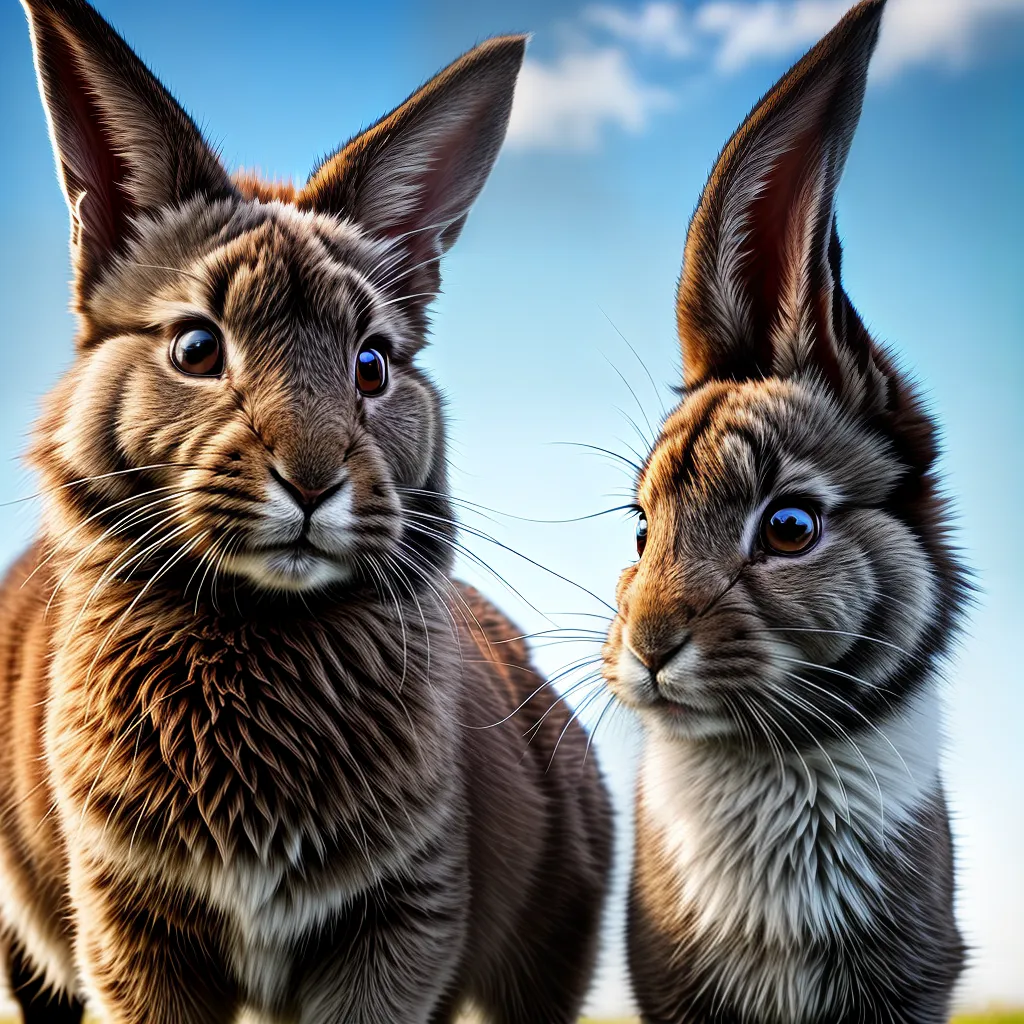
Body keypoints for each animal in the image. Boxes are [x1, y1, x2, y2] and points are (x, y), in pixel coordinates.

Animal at [0, 1, 614, 1022]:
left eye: (373, 364)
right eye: (196, 347)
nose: (315, 478)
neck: (261, 632)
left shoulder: (403, 925)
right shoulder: (127, 928)